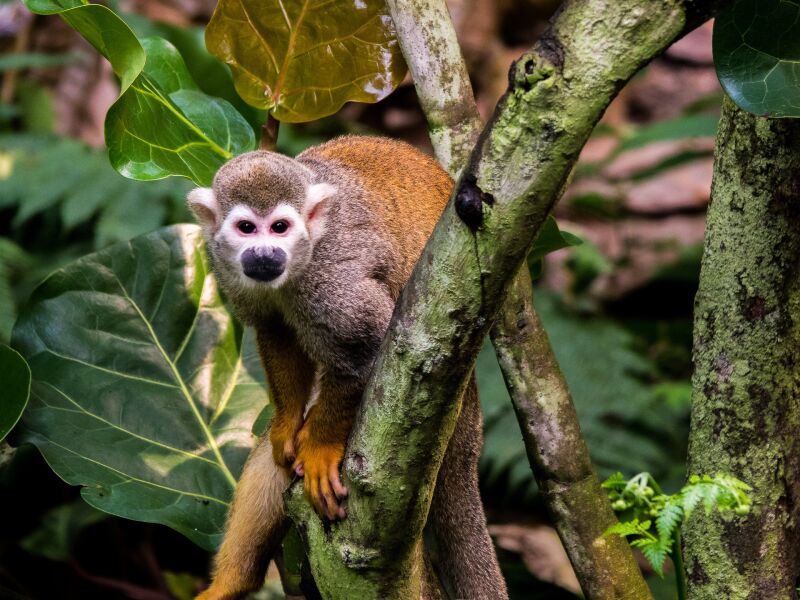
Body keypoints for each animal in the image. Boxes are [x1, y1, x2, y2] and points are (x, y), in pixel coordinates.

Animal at [188, 137, 506, 600]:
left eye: (280, 228)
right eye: (246, 228)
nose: (265, 253)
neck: (301, 262)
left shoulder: (333, 278)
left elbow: (367, 343)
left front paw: (321, 449)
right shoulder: (228, 268)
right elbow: (275, 332)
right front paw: (287, 423)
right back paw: (233, 583)